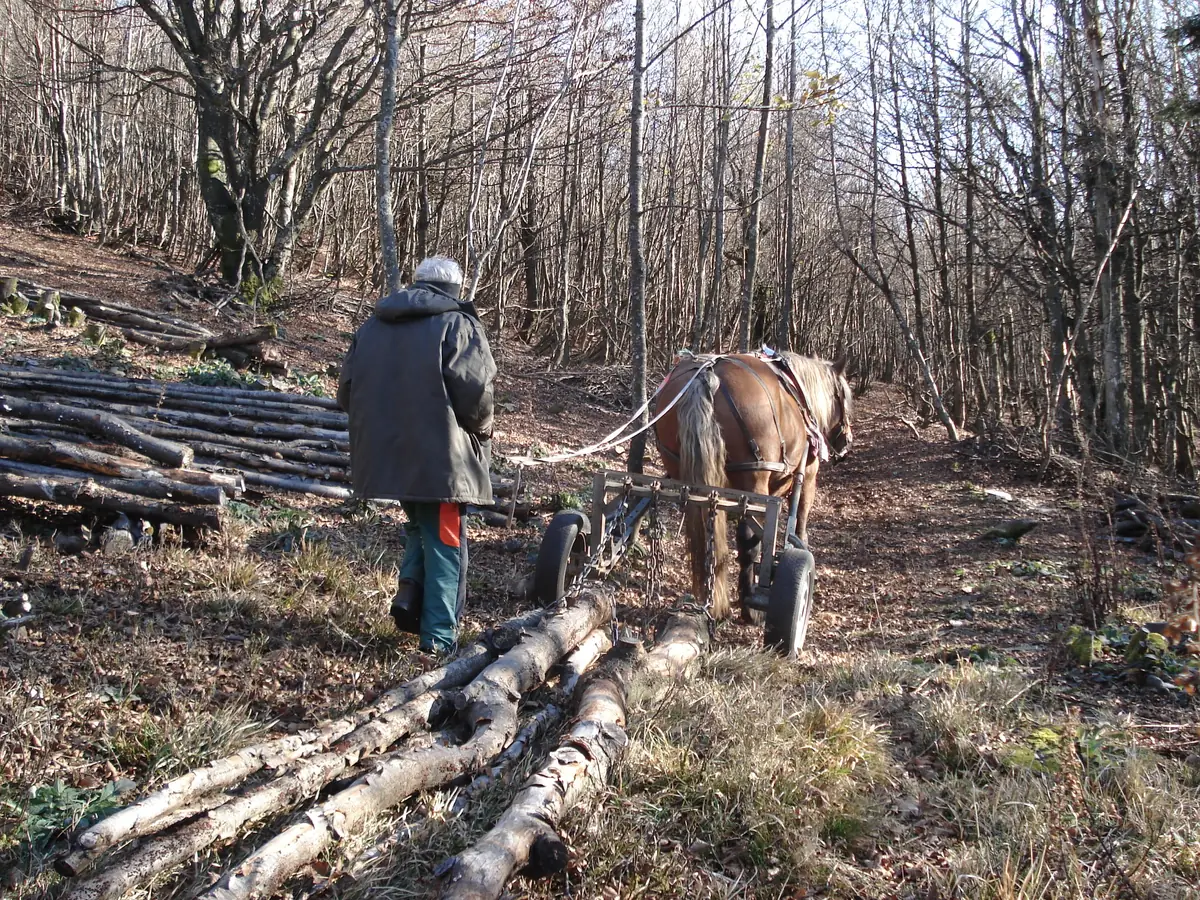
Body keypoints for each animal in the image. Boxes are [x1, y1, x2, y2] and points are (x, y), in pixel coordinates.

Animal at [652, 352, 853, 621]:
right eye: (844, 399)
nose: (846, 443)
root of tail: (707, 375)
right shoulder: (807, 476)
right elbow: (798, 523)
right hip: (754, 482)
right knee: (749, 542)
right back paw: (750, 605)